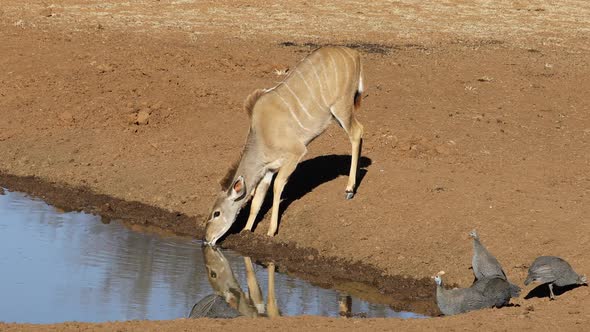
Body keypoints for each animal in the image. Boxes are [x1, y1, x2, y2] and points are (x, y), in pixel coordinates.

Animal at [207, 46, 366, 244]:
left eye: (216, 213)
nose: (207, 238)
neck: (262, 134)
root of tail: (355, 54)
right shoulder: (268, 169)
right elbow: (257, 200)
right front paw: (246, 230)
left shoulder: (296, 153)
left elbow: (277, 187)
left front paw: (270, 231)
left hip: (341, 107)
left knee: (357, 132)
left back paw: (350, 188)